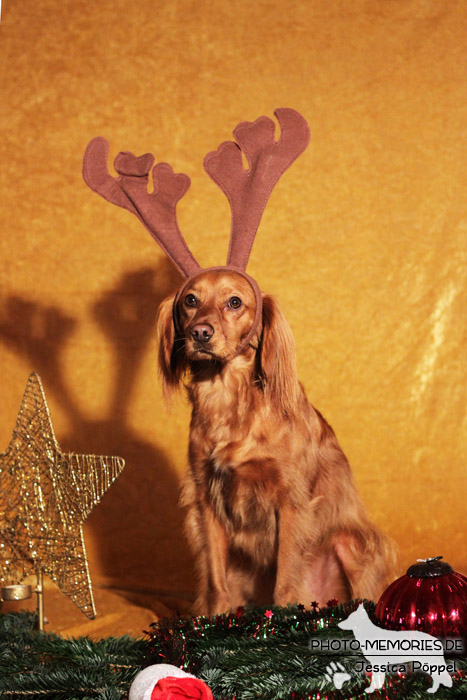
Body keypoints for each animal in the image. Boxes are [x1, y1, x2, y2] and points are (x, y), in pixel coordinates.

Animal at [156, 268, 394, 612]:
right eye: (190, 300)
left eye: (234, 302)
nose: (200, 333)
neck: (228, 399)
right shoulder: (206, 500)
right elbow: (216, 583)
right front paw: (215, 618)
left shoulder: (290, 500)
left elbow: (285, 582)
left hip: (353, 545)